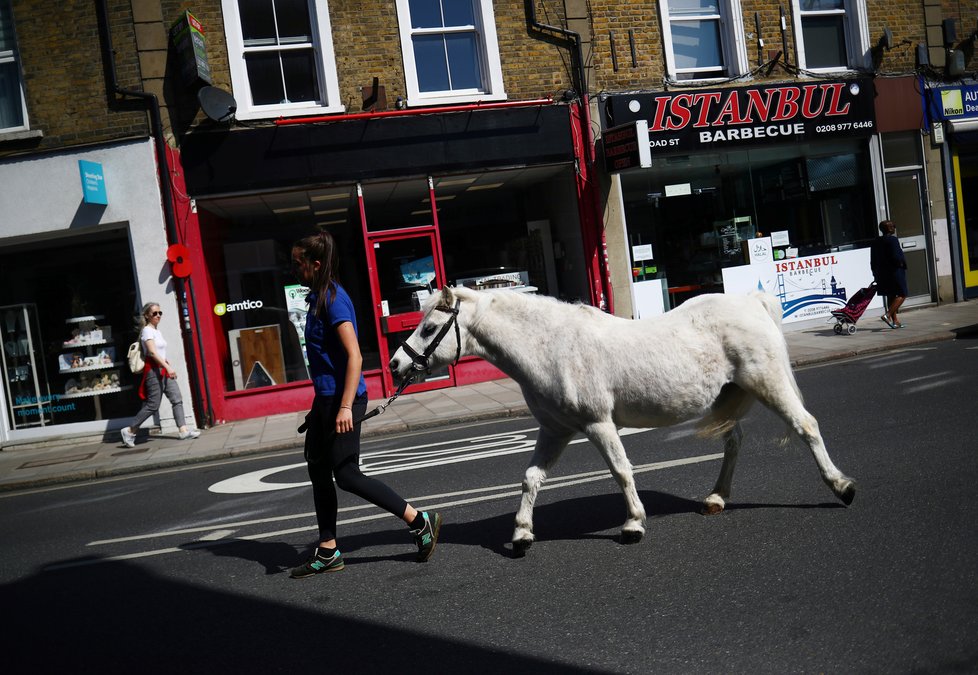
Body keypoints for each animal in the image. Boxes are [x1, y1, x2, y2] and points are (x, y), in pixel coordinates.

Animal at [388, 286, 856, 556]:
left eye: (429, 328)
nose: (395, 365)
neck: (550, 345)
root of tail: (751, 302)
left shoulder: (597, 423)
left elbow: (620, 470)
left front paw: (633, 524)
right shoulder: (556, 431)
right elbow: (530, 478)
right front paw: (521, 534)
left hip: (767, 381)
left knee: (806, 426)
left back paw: (841, 487)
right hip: (729, 394)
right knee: (734, 441)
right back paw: (716, 498)